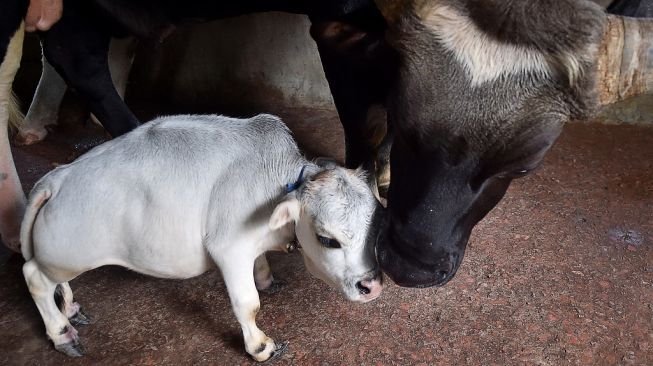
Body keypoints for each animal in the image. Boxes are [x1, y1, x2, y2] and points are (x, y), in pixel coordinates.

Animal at [1, 0, 652, 288]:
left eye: (525, 165)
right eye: (409, 120)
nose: (411, 266)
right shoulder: (341, 33)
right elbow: (362, 124)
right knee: (71, 56)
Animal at [19, 113, 382, 362]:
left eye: (375, 229)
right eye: (327, 239)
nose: (372, 286)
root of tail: (56, 178)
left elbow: (261, 265)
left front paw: (267, 278)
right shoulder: (229, 247)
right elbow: (248, 303)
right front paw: (260, 347)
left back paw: (69, 307)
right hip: (69, 255)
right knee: (34, 276)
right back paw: (62, 334)